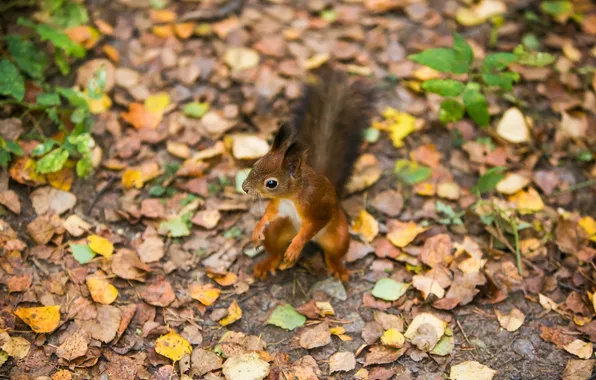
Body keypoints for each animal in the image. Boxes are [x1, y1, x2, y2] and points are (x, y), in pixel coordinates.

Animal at [241, 66, 374, 282]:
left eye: (271, 183)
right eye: (256, 163)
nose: (245, 188)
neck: (292, 197)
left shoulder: (316, 206)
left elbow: (312, 226)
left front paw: (296, 246)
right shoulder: (279, 206)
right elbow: (270, 213)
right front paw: (258, 228)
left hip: (338, 235)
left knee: (334, 253)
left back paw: (337, 267)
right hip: (279, 230)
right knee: (275, 249)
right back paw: (268, 263)